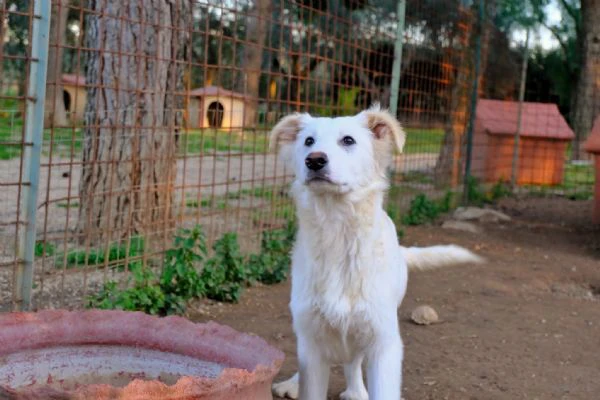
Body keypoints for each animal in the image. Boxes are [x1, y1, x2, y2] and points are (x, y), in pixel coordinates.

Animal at [270, 106, 480, 400]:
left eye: (348, 140)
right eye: (308, 141)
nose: (314, 161)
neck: (338, 234)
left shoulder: (384, 343)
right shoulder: (311, 340)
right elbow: (310, 380)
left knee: (353, 361)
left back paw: (356, 391)